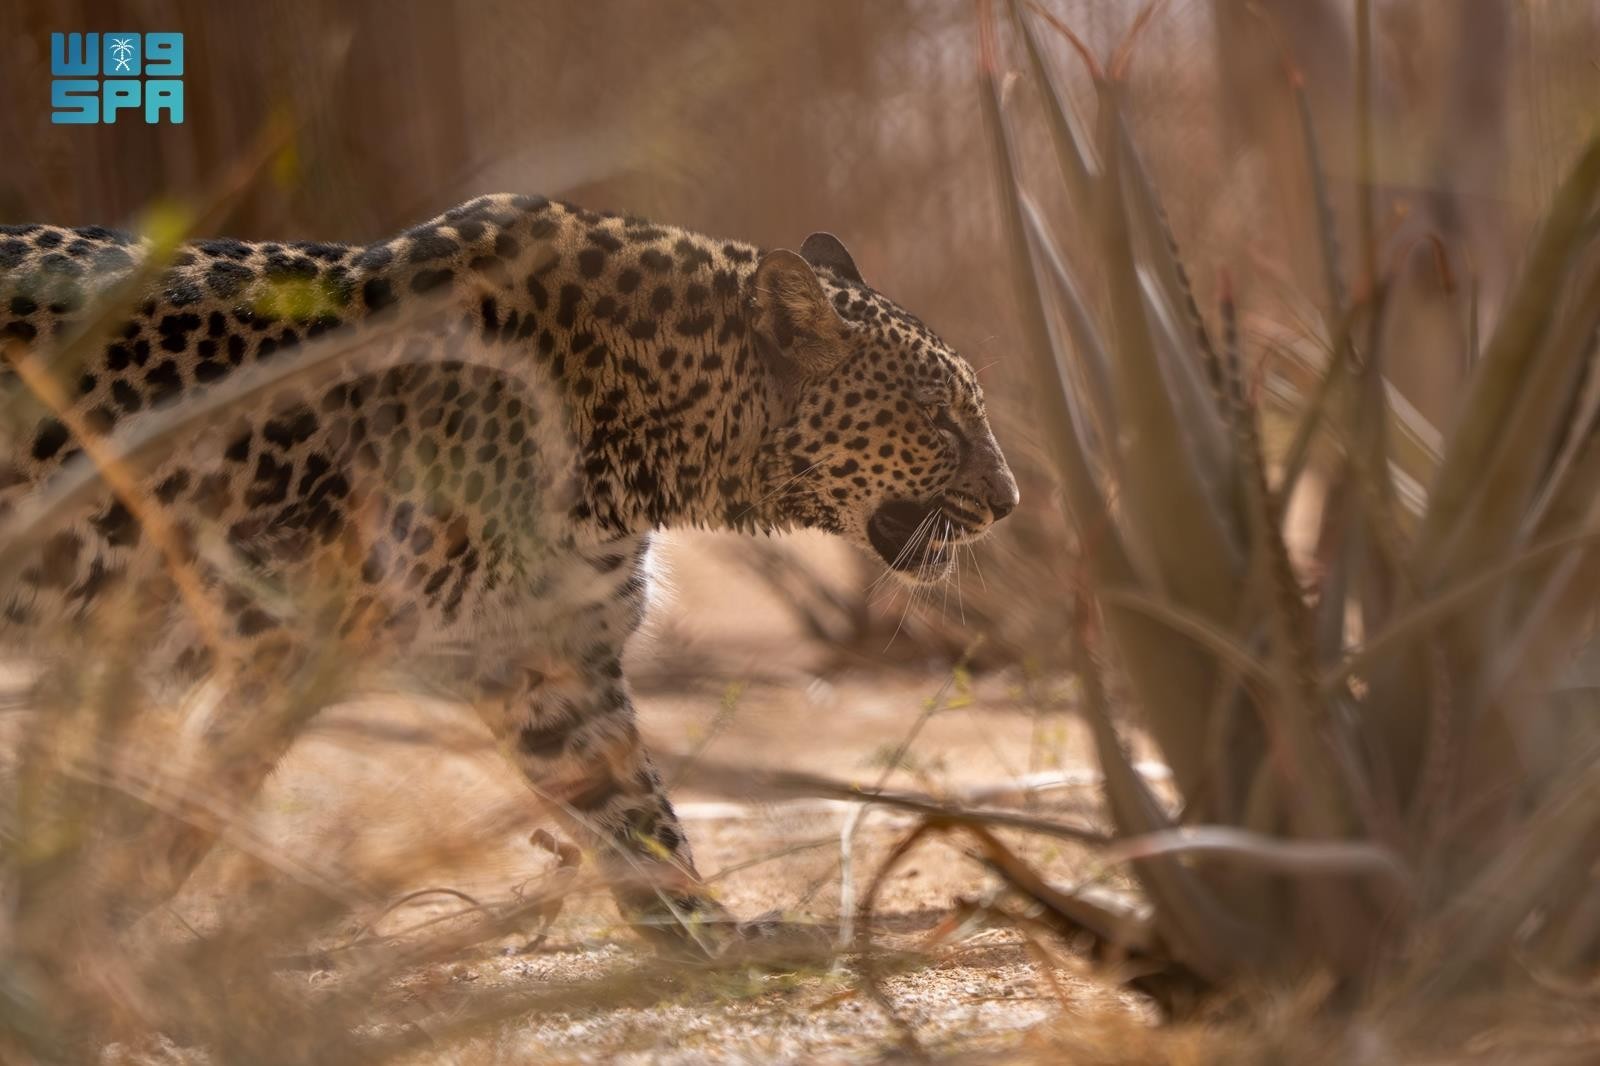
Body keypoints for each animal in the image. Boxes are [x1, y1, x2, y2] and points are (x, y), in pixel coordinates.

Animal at [0, 193, 1018, 953]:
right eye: (940, 418)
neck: (644, 438)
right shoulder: (284, 645)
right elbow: (187, 806)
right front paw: (92, 936)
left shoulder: (552, 658)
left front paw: (707, 935)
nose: (1009, 500)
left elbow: (636, 812)